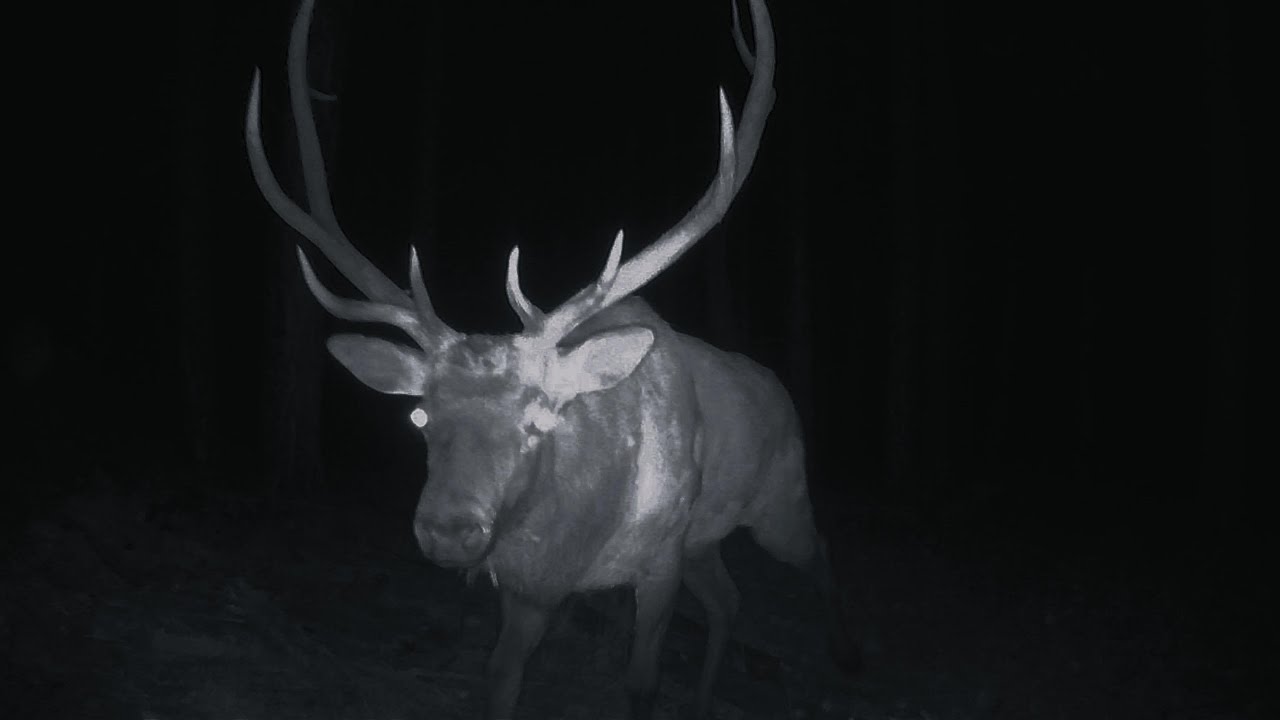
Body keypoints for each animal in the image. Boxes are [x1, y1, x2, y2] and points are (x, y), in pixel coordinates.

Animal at [246, 0, 853, 717]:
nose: (448, 529)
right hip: (705, 539)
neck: (577, 545)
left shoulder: (661, 560)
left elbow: (641, 684)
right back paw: (710, 696)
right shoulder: (528, 587)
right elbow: (501, 676)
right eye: (419, 416)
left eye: (539, 419)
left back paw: (841, 661)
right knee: (730, 601)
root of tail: (777, 387)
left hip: (778, 500)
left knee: (819, 553)